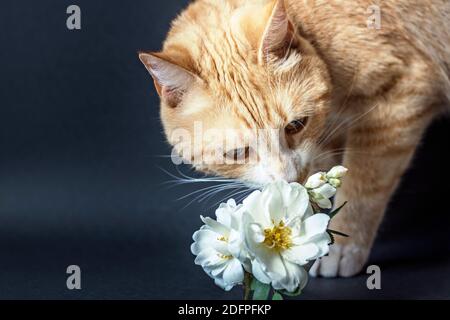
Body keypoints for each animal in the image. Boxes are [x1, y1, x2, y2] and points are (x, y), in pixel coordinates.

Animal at [139, 0, 450, 278]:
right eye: (237, 153)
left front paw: (343, 246)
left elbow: (363, 185)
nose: (288, 176)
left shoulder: (401, 98)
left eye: (296, 125)